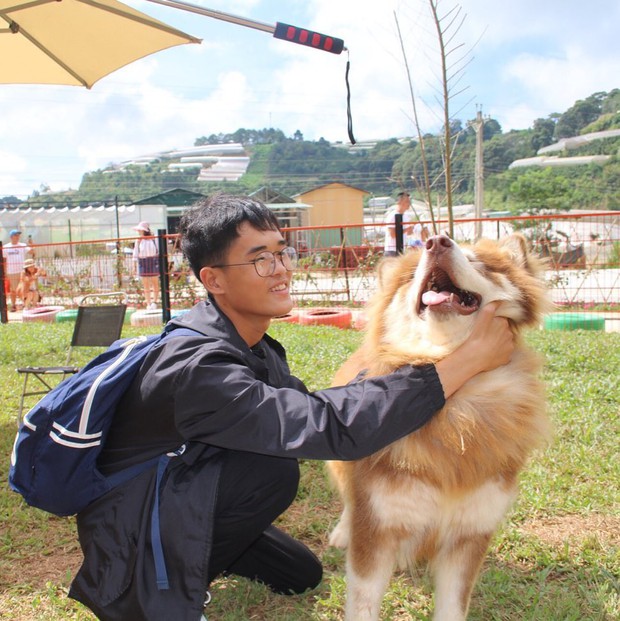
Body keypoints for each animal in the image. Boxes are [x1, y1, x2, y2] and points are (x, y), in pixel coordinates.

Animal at [330, 234, 552, 620]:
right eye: (412, 274)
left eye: (477, 261)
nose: (436, 241)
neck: (457, 413)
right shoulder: (376, 526)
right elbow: (364, 602)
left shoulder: (470, 533)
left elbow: (453, 605)